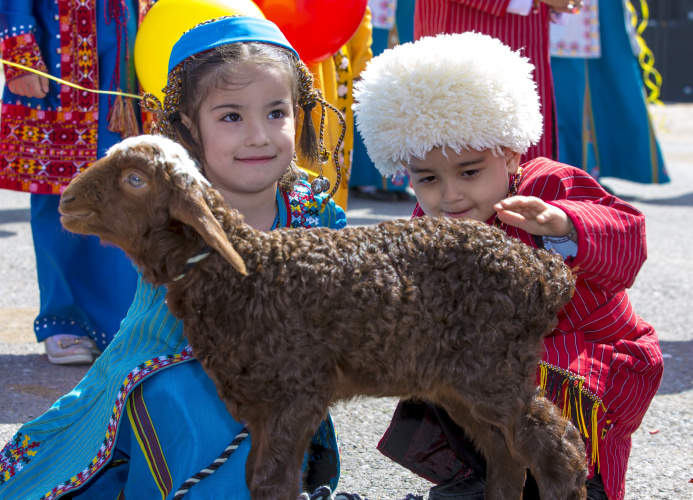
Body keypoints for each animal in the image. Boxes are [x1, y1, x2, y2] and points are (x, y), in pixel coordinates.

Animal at [59, 135, 588, 498]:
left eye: (135, 180)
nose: (66, 200)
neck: (246, 271)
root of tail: (543, 271)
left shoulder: (297, 392)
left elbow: (271, 480)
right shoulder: (261, 404)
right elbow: (256, 475)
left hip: (494, 368)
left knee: (555, 446)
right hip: (458, 384)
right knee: (506, 455)